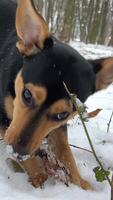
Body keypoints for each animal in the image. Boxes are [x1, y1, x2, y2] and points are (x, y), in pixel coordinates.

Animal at [0, 0, 113, 189]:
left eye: (62, 114)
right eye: (27, 95)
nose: (19, 151)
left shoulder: (59, 127)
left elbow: (65, 153)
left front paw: (81, 184)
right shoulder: (2, 118)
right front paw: (39, 177)